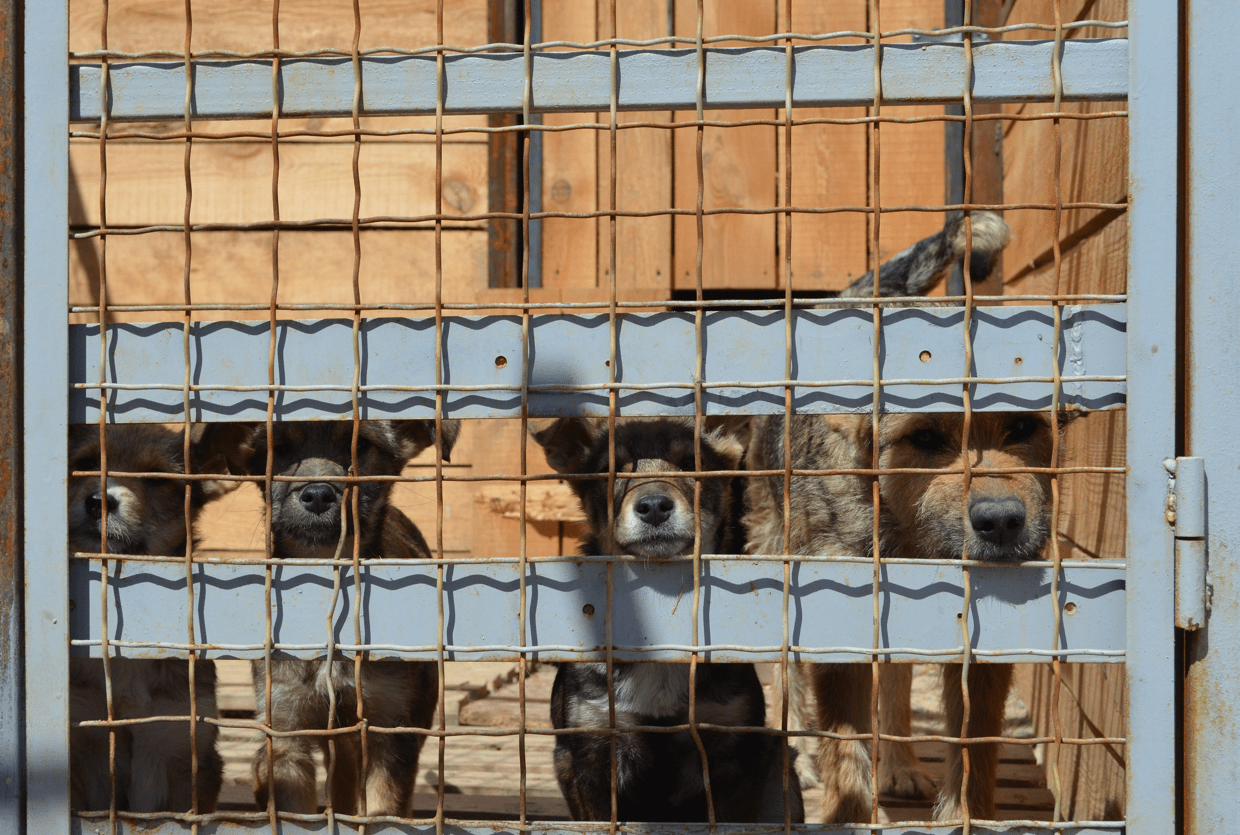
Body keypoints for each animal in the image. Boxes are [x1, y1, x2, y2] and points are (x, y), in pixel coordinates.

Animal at [218, 416, 461, 813]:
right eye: (279, 448)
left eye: (359, 445)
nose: (318, 494)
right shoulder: (285, 731)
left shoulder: (388, 729)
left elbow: (383, 810)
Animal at [739, 209, 1041, 818]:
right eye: (923, 438)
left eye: (1024, 427)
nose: (1002, 523)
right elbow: (845, 742)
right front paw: (850, 811)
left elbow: (975, 739)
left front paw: (966, 814)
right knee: (787, 673)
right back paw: (798, 755)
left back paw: (899, 763)